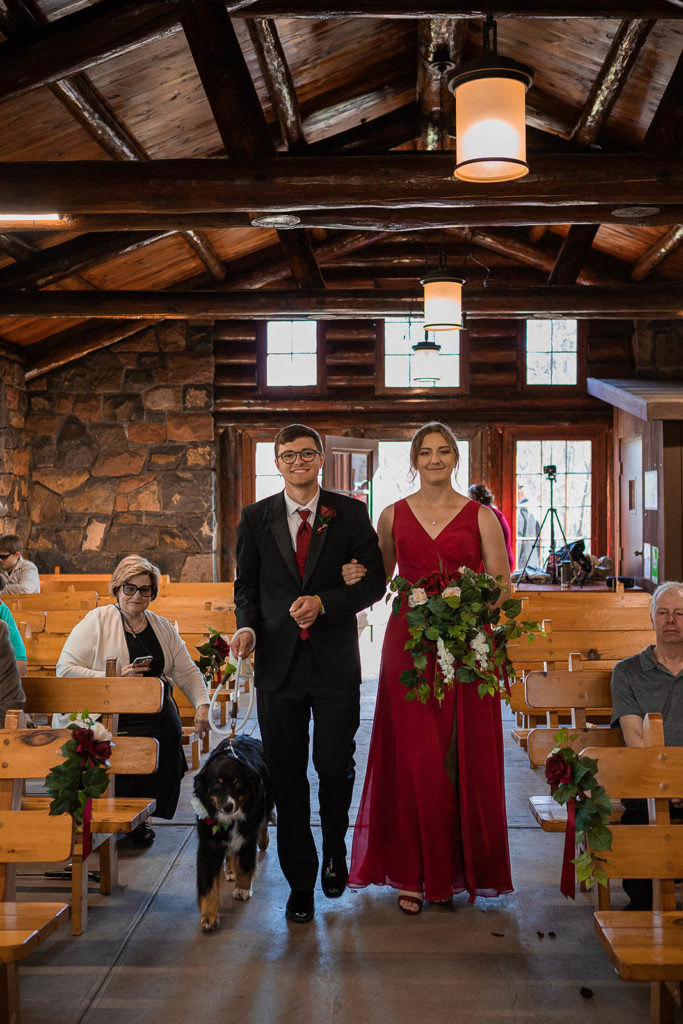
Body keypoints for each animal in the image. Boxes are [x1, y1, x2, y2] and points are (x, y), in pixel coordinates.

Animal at [192, 733, 272, 933]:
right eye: (217, 785)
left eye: (237, 785)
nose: (228, 806)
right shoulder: (209, 844)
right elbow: (208, 884)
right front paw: (209, 916)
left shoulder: (247, 834)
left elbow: (244, 864)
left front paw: (242, 889)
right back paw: (229, 870)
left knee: (265, 822)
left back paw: (263, 841)